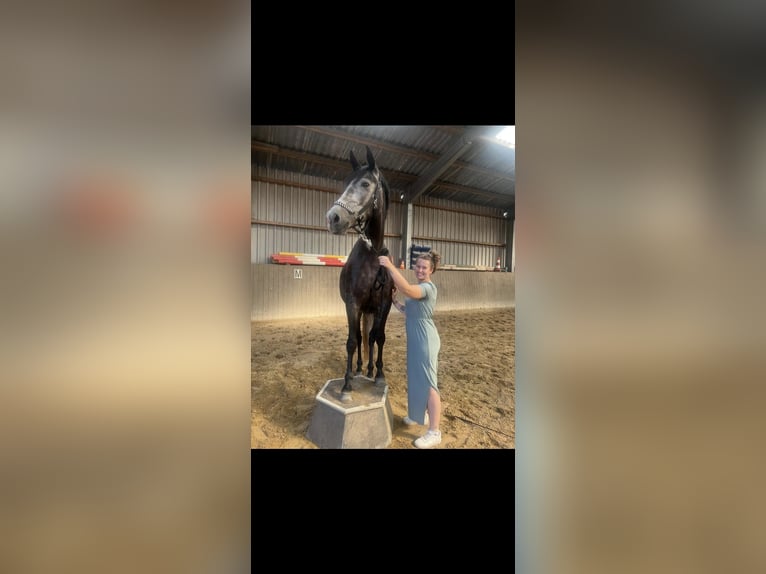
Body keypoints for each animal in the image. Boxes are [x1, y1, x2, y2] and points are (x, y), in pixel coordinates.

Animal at [326, 146, 394, 402]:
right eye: (346, 183)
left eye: (365, 184)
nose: (333, 218)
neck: (372, 257)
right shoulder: (353, 304)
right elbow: (353, 341)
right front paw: (346, 386)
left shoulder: (384, 304)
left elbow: (379, 337)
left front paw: (379, 375)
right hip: (362, 310)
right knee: (360, 337)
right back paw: (357, 369)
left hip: (371, 310)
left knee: (371, 337)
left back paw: (370, 369)